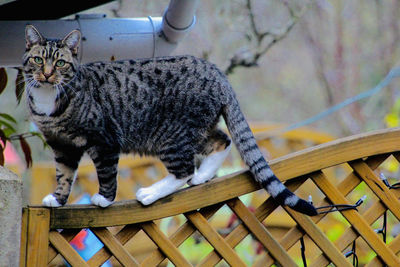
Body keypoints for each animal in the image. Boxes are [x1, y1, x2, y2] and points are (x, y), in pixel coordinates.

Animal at [22, 25, 318, 217]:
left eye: (60, 63)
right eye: (37, 60)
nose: (46, 74)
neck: (50, 98)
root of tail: (216, 72)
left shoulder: (103, 141)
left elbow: (105, 173)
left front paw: (104, 200)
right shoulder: (61, 145)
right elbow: (64, 174)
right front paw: (57, 199)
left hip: (170, 136)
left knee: (184, 168)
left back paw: (150, 193)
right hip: (194, 131)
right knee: (222, 141)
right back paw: (203, 176)